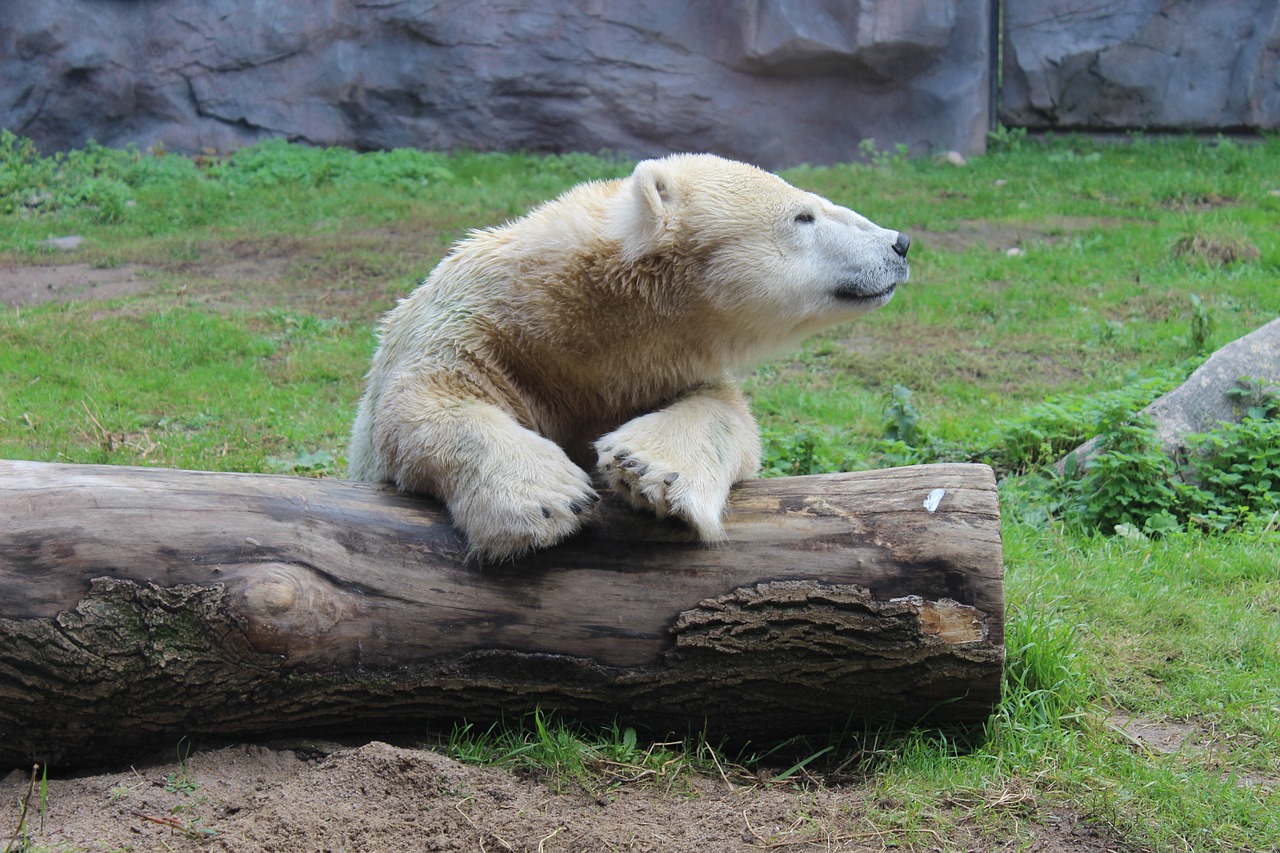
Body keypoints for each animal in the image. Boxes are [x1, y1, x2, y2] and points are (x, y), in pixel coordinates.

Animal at [348, 151, 911, 558]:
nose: (900, 243)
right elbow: (425, 402)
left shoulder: (653, 369)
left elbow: (728, 415)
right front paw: (548, 500)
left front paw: (648, 470)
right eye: (804, 215)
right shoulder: (474, 327)